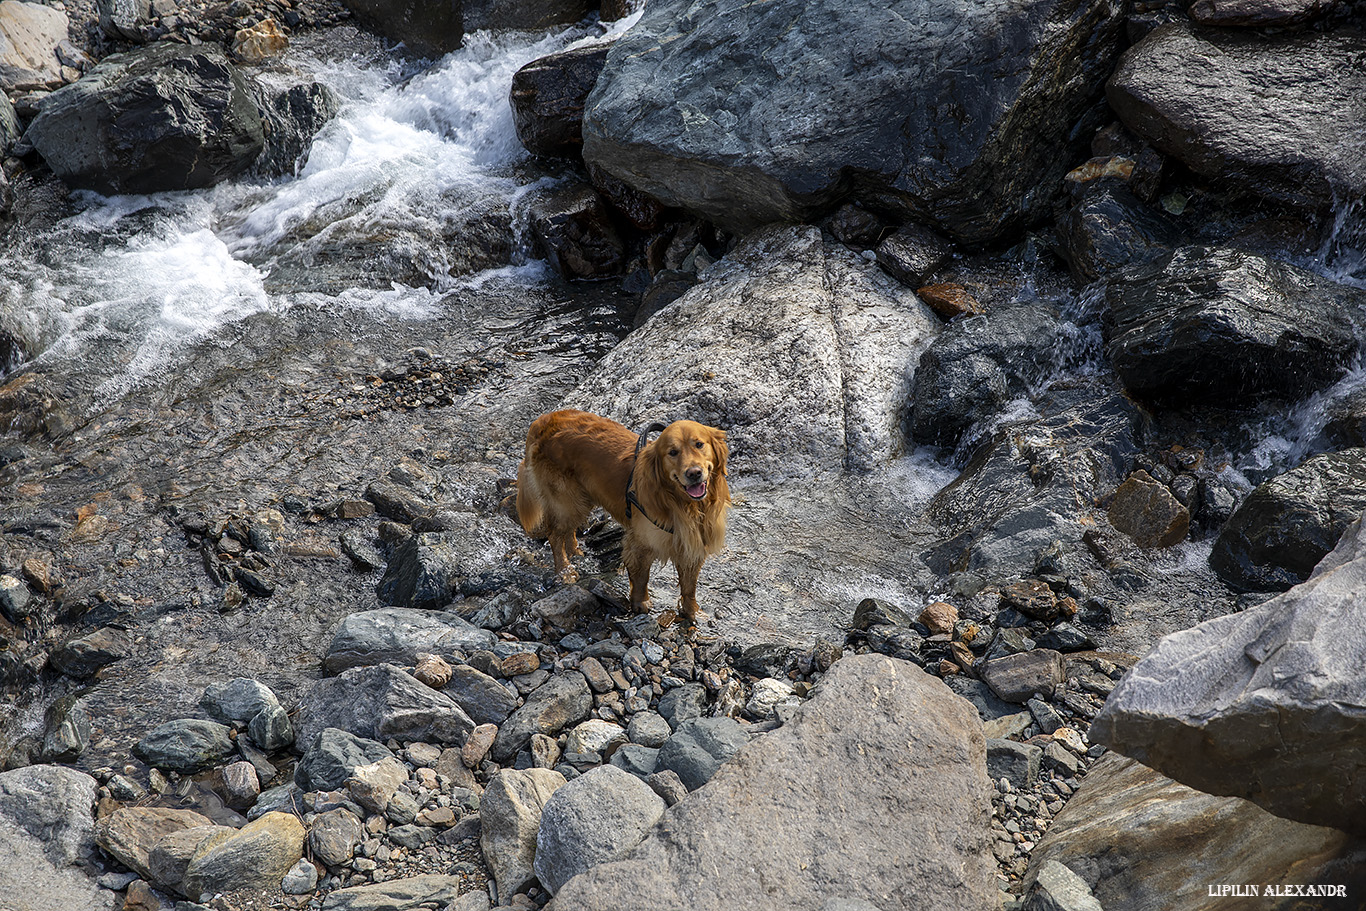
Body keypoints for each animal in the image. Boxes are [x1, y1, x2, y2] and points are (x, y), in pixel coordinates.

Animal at [513, 412, 732, 620]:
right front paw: (641, 604)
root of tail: (544, 420)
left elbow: (689, 586)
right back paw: (565, 570)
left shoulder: (692, 545)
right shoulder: (641, 543)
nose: (694, 473)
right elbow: (642, 578)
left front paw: (692, 612)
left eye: (699, 444)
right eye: (672, 452)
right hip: (565, 501)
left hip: (581, 499)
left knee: (568, 531)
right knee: (555, 536)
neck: (681, 503)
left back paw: (575, 551)